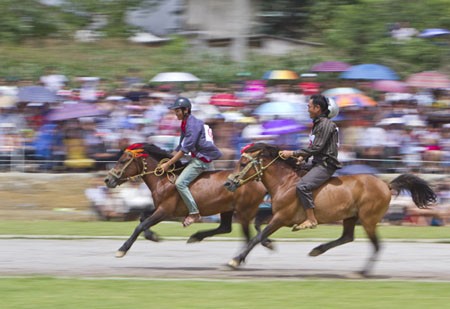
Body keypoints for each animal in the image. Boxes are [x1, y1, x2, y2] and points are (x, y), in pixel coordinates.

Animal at [103, 143, 268, 256]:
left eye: (123, 161)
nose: (108, 179)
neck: (162, 179)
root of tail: (259, 180)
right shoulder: (159, 208)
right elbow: (143, 217)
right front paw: (153, 236)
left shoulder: (165, 211)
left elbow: (141, 226)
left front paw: (123, 249)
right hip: (226, 209)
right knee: (225, 228)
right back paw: (196, 237)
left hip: (244, 211)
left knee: (246, 236)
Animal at [224, 142, 436, 274]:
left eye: (242, 163)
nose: (228, 183)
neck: (285, 183)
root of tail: (386, 185)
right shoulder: (276, 214)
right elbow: (258, 226)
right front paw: (269, 243)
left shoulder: (281, 217)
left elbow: (256, 236)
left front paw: (235, 260)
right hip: (351, 217)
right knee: (347, 237)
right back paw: (317, 250)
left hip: (368, 219)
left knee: (376, 245)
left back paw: (363, 272)